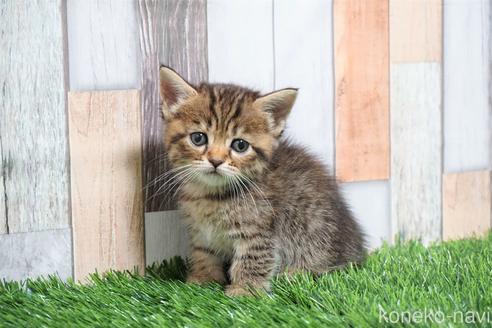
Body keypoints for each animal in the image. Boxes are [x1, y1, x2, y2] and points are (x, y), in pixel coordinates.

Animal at [159, 65, 366, 296]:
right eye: (198, 138)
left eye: (240, 145)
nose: (216, 161)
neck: (210, 196)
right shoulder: (201, 231)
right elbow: (203, 252)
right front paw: (202, 279)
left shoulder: (258, 229)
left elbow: (253, 257)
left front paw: (245, 289)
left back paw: (295, 273)